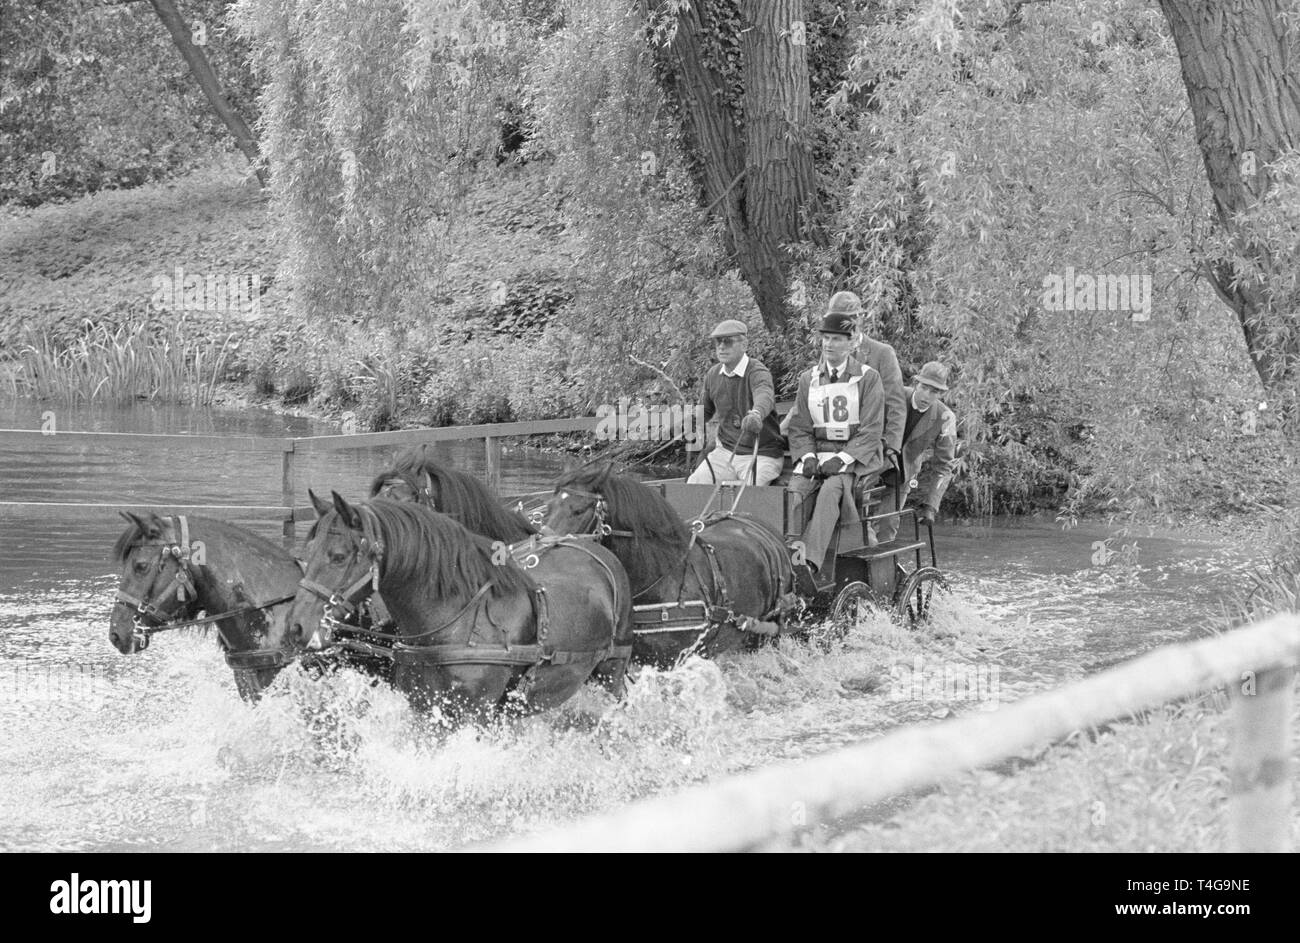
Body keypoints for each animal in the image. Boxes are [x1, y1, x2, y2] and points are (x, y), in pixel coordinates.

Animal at [282, 491, 631, 723]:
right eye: (307, 552)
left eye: (338, 556)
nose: (295, 626)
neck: (457, 624)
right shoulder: (425, 708)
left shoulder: (474, 712)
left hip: (610, 674)